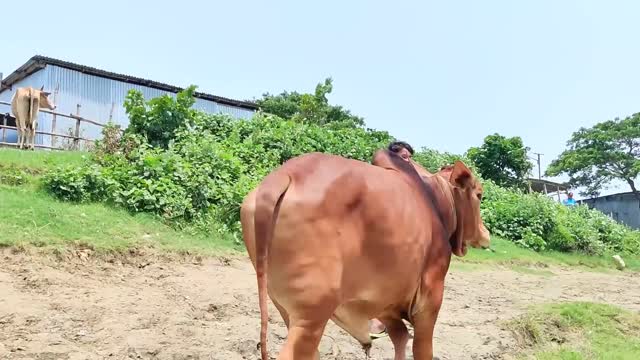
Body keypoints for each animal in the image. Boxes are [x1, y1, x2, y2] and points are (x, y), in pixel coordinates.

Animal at [240, 150, 490, 360]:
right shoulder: (429, 301)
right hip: (311, 316)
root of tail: (283, 175)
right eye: (479, 194)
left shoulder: (386, 303)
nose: (485, 233)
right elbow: (421, 349)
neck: (434, 199)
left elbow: (400, 338)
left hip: (284, 307)